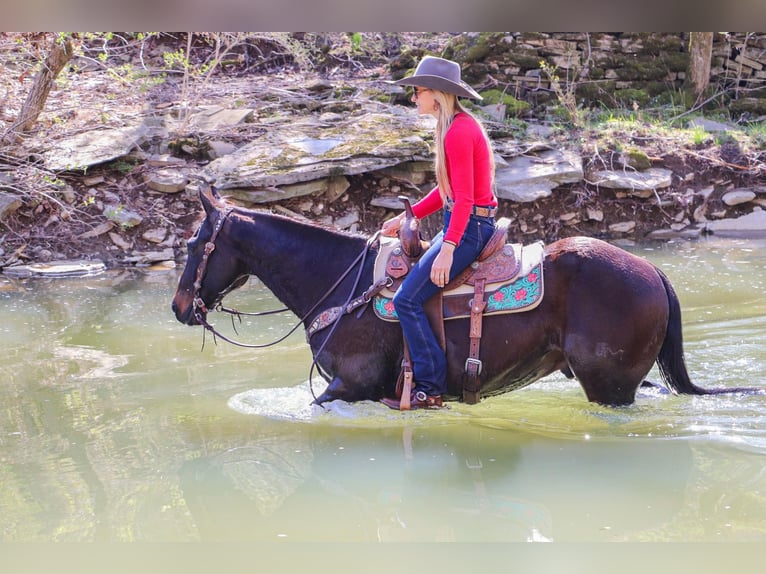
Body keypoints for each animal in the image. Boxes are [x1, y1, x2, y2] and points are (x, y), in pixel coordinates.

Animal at [171, 187, 760, 408]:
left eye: (195, 244)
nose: (179, 308)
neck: (342, 281)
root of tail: (653, 271)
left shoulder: (350, 386)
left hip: (609, 386)